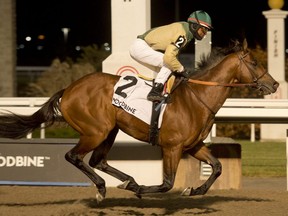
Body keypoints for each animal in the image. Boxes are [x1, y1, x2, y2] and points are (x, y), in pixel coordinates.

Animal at [0, 39, 280, 202]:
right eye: (255, 62)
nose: (275, 84)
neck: (197, 98)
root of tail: (68, 89)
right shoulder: (173, 147)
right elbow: (167, 184)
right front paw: (142, 190)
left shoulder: (193, 146)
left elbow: (218, 166)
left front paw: (193, 190)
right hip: (95, 131)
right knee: (74, 156)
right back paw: (105, 188)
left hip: (110, 130)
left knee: (97, 160)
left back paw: (125, 181)